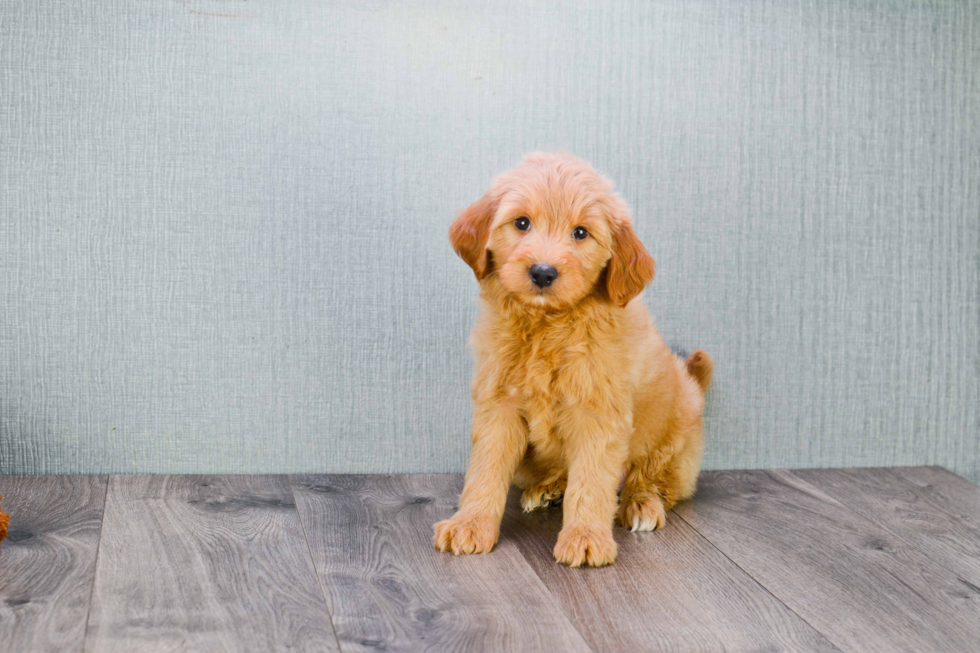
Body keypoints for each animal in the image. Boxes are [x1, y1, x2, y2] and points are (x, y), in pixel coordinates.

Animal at [436, 152, 712, 564]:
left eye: (581, 233)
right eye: (521, 223)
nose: (543, 272)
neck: (547, 325)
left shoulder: (597, 410)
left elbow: (592, 480)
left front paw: (585, 537)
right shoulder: (499, 404)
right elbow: (485, 467)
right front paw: (470, 523)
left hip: (677, 429)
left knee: (654, 476)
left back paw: (642, 503)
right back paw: (549, 488)